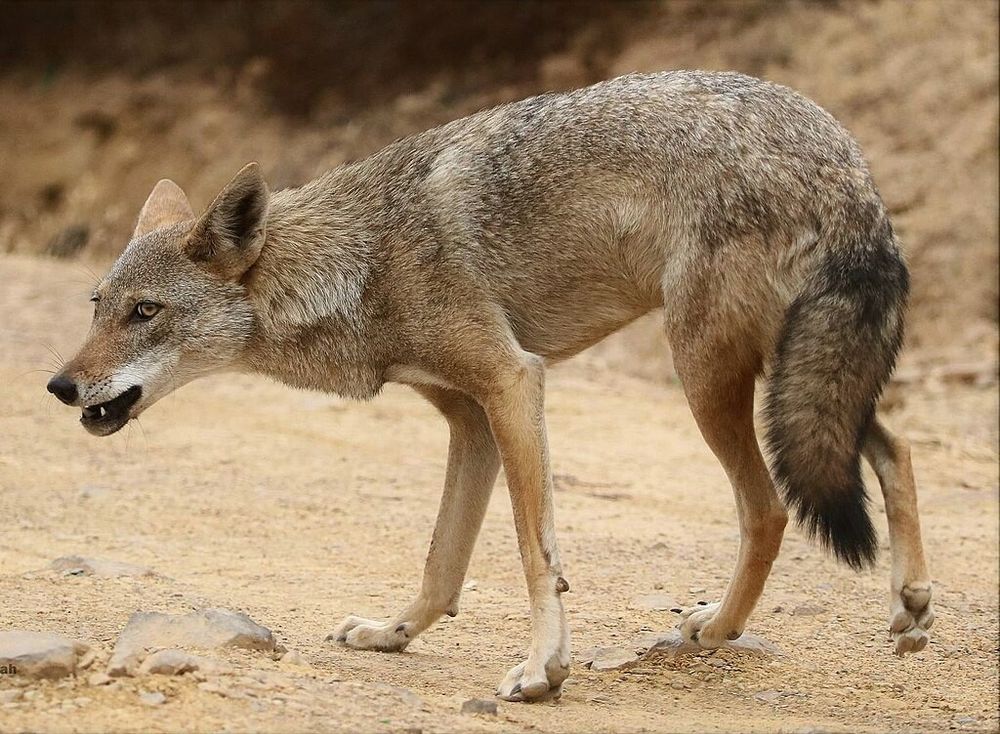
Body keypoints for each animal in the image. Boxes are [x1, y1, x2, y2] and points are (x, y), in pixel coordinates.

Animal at [47, 71, 933, 701]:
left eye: (146, 312)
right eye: (97, 306)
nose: (60, 385)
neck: (361, 261)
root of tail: (846, 160)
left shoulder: (513, 383)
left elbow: (533, 549)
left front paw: (542, 670)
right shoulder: (468, 418)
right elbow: (442, 561)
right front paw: (392, 634)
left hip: (710, 378)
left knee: (771, 505)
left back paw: (716, 628)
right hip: (793, 377)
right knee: (892, 447)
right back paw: (910, 606)